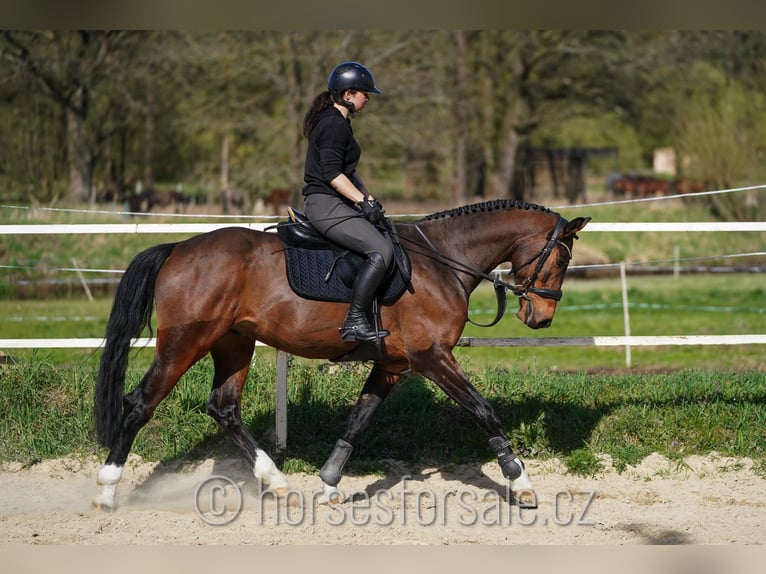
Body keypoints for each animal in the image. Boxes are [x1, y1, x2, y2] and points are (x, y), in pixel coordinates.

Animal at [91, 200, 592, 510]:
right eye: (562, 258)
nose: (541, 318)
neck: (443, 261)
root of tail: (178, 247)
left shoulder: (392, 365)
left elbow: (358, 421)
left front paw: (328, 484)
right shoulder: (431, 357)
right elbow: (483, 411)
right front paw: (520, 482)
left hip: (233, 343)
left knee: (224, 408)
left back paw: (278, 483)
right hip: (185, 343)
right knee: (139, 405)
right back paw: (106, 492)